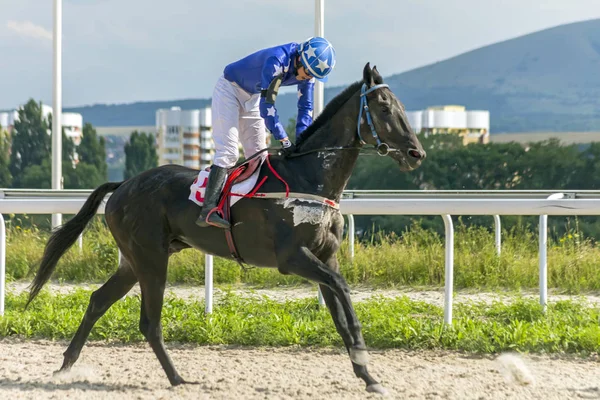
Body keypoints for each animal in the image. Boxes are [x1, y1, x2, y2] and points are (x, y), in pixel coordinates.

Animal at [25, 62, 424, 394]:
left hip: (133, 261)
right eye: (384, 108)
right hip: (151, 259)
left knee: (97, 301)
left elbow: (342, 315)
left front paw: (368, 376)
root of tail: (122, 185)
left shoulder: (326, 257)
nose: (416, 153)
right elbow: (343, 290)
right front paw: (364, 363)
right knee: (149, 323)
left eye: (400, 106)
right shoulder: (292, 258)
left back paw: (66, 366)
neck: (310, 177)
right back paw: (177, 378)